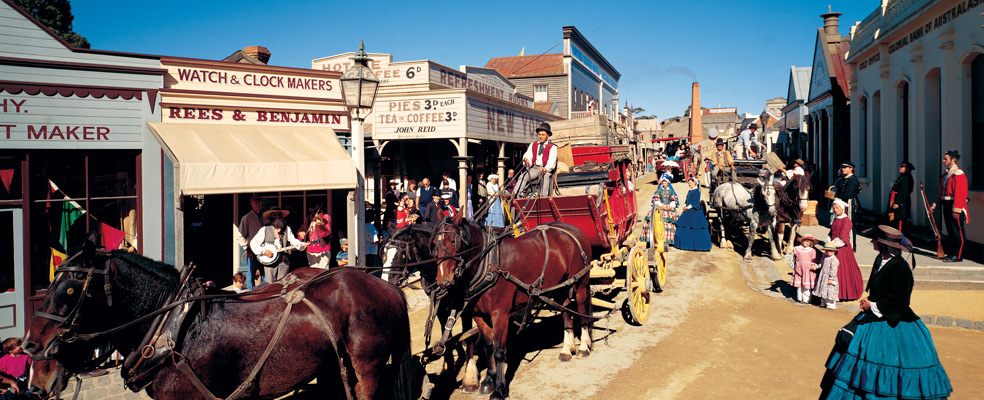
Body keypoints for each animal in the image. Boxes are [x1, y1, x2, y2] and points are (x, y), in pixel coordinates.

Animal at [23, 238, 416, 400]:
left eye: (71, 288)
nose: (30, 346)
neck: (171, 330)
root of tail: (384, 284)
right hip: (334, 364)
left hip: (368, 367)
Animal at [432, 214, 592, 400]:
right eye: (434, 244)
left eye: (453, 241)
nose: (443, 281)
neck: (488, 264)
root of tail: (572, 228)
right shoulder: (478, 315)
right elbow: (488, 346)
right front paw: (489, 380)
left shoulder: (500, 314)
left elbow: (499, 351)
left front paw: (499, 389)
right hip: (561, 286)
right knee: (566, 312)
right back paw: (567, 349)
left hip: (580, 282)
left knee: (581, 310)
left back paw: (583, 347)